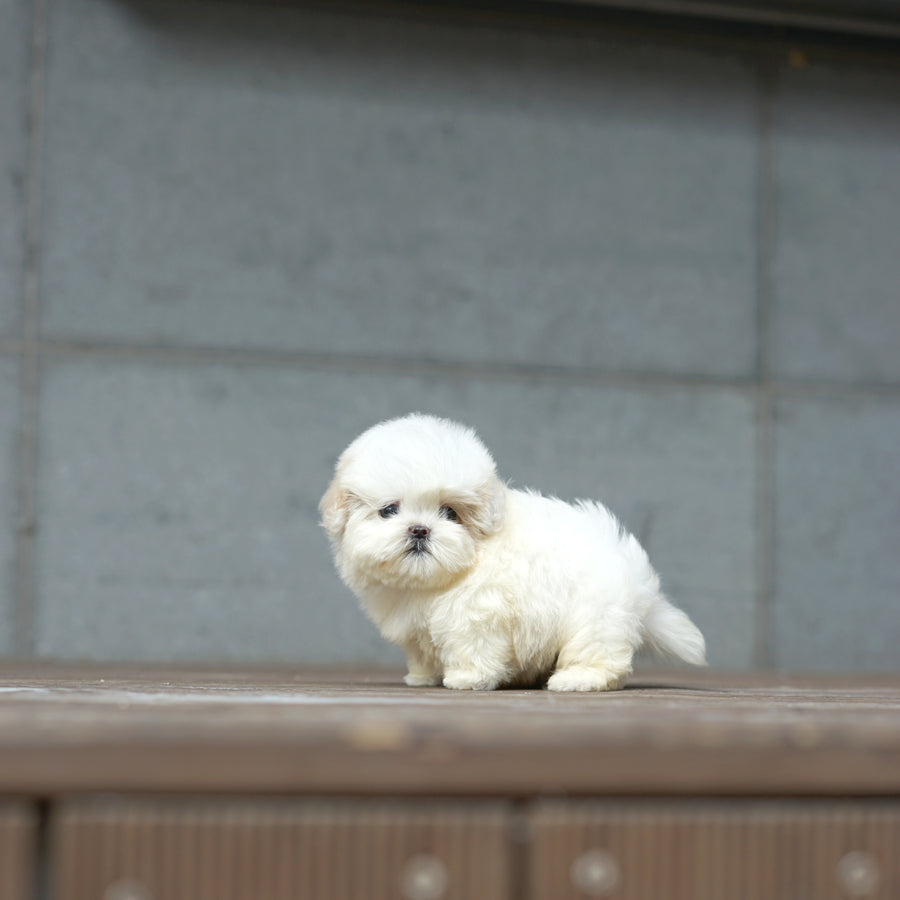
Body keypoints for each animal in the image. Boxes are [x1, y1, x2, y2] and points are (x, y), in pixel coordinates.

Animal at [320, 412, 708, 692]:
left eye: (450, 513)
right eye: (389, 510)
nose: (419, 529)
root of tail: (641, 585)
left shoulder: (477, 612)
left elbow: (473, 646)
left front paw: (468, 678)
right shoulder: (417, 628)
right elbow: (423, 651)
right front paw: (423, 676)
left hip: (595, 615)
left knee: (599, 654)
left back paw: (576, 679)